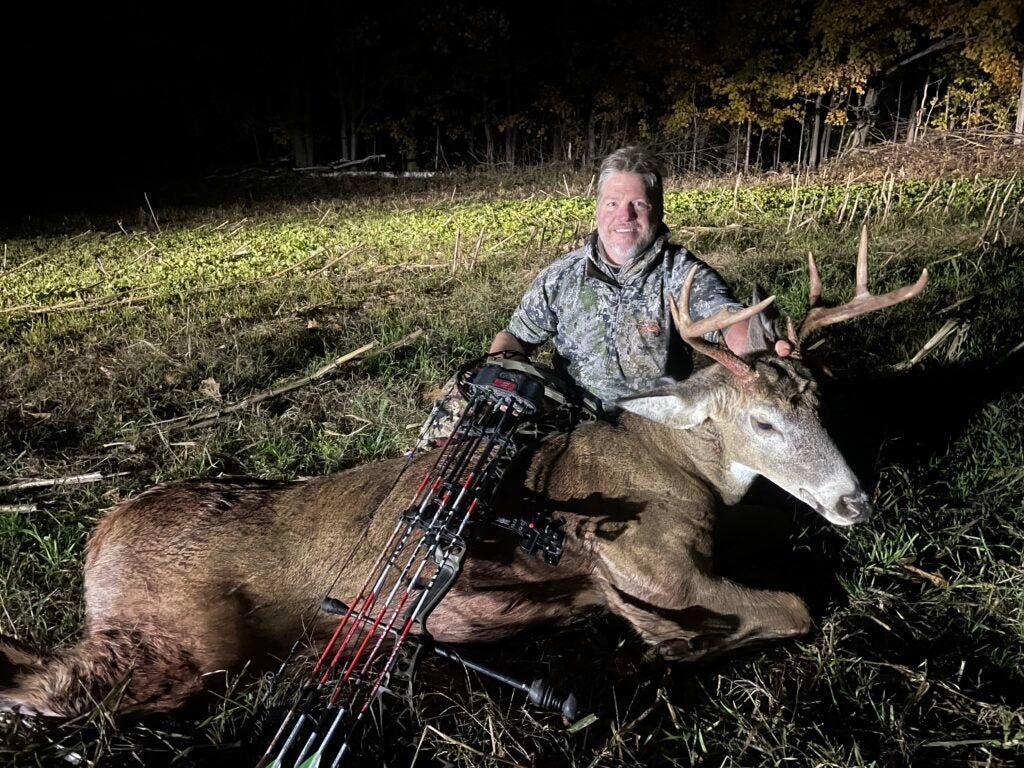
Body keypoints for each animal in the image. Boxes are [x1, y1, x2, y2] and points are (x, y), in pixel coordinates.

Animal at [0, 226, 926, 719]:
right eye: (764, 421)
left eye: (820, 401)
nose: (854, 501)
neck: (682, 473)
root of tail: (97, 541)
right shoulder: (651, 563)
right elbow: (797, 605)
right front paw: (670, 645)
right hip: (182, 642)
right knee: (49, 687)